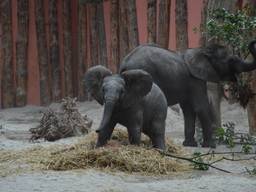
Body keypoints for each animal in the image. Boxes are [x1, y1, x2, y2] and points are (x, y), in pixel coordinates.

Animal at [119, 40, 256, 148]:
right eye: (231, 60)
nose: (253, 42)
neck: (202, 50)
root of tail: (124, 63)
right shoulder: (195, 80)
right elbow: (201, 107)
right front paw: (211, 146)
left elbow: (188, 109)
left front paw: (190, 145)